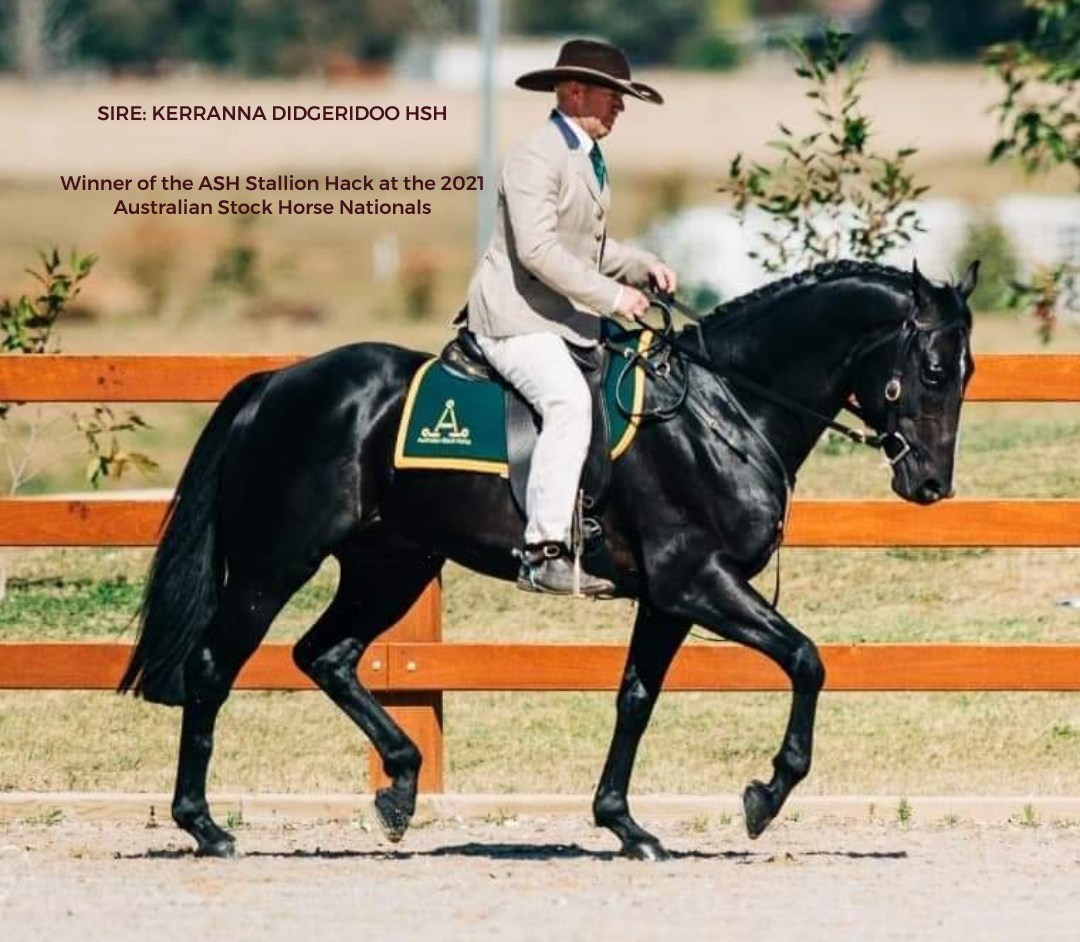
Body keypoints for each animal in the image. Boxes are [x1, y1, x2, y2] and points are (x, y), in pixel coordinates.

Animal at [119, 258, 978, 859]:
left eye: (965, 372)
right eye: (934, 369)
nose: (930, 485)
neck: (722, 408)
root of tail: (277, 383)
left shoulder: (667, 598)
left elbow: (636, 699)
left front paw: (626, 826)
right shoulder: (697, 581)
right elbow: (805, 659)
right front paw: (764, 797)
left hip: (390, 565)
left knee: (325, 656)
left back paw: (398, 788)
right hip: (275, 565)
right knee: (213, 668)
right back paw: (206, 827)